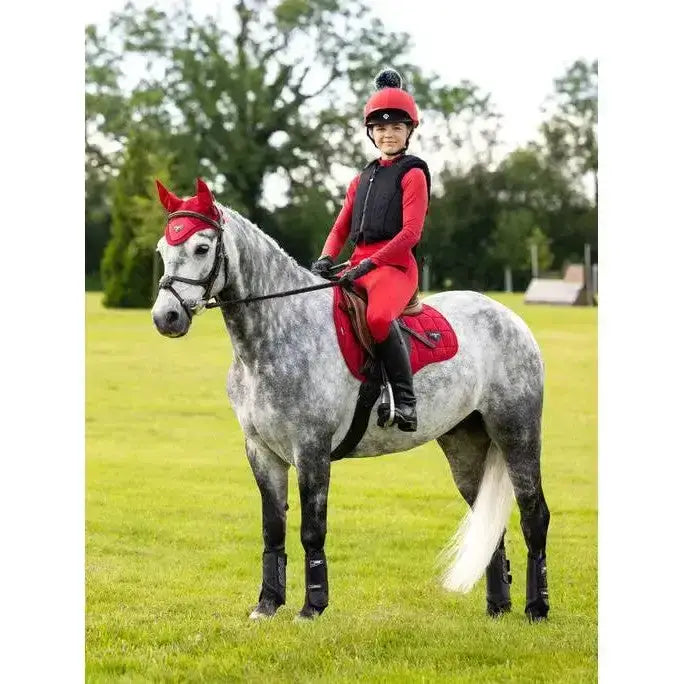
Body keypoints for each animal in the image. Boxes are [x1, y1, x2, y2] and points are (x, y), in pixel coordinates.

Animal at [151, 179, 550, 622]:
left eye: (202, 248)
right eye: (162, 250)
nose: (166, 317)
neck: (277, 334)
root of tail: (509, 317)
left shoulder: (311, 450)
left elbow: (312, 530)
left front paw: (312, 607)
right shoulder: (261, 451)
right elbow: (273, 528)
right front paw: (267, 604)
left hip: (517, 433)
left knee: (534, 513)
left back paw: (537, 607)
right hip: (464, 443)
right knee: (487, 515)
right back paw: (498, 606)